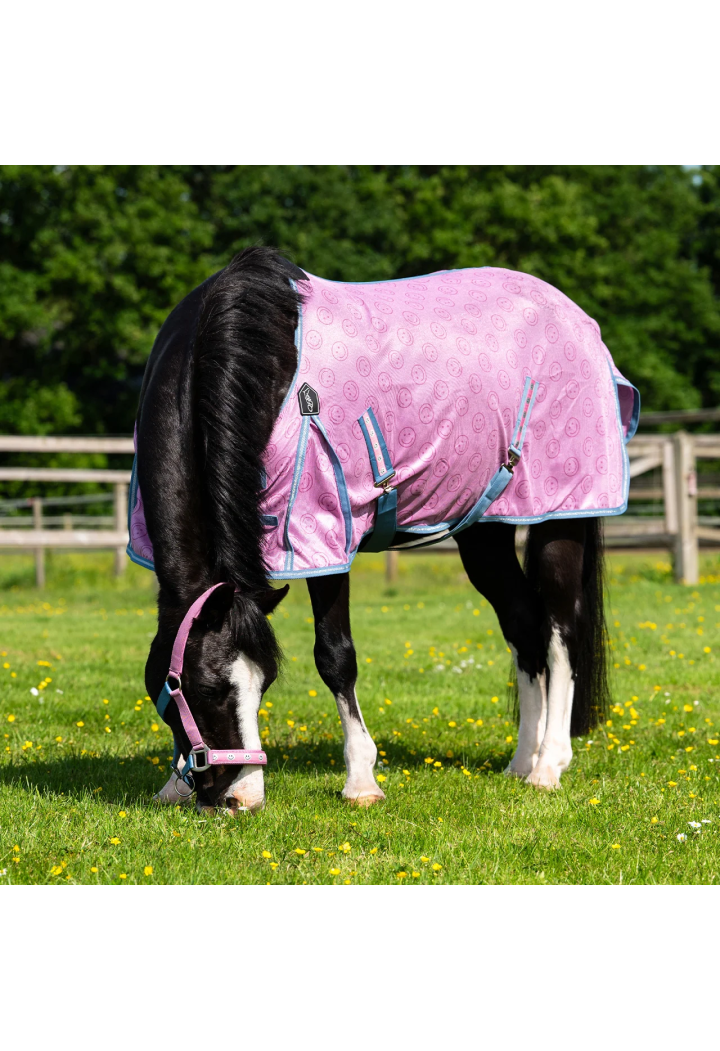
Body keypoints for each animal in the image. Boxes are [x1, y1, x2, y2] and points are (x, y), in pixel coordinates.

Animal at [129, 246, 638, 813]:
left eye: (262, 685)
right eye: (212, 688)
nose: (243, 797)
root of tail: (580, 323)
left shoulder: (325, 533)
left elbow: (335, 656)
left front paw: (361, 781)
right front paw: (172, 783)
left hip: (559, 518)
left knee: (560, 631)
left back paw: (548, 766)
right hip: (484, 532)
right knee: (524, 623)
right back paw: (520, 762)